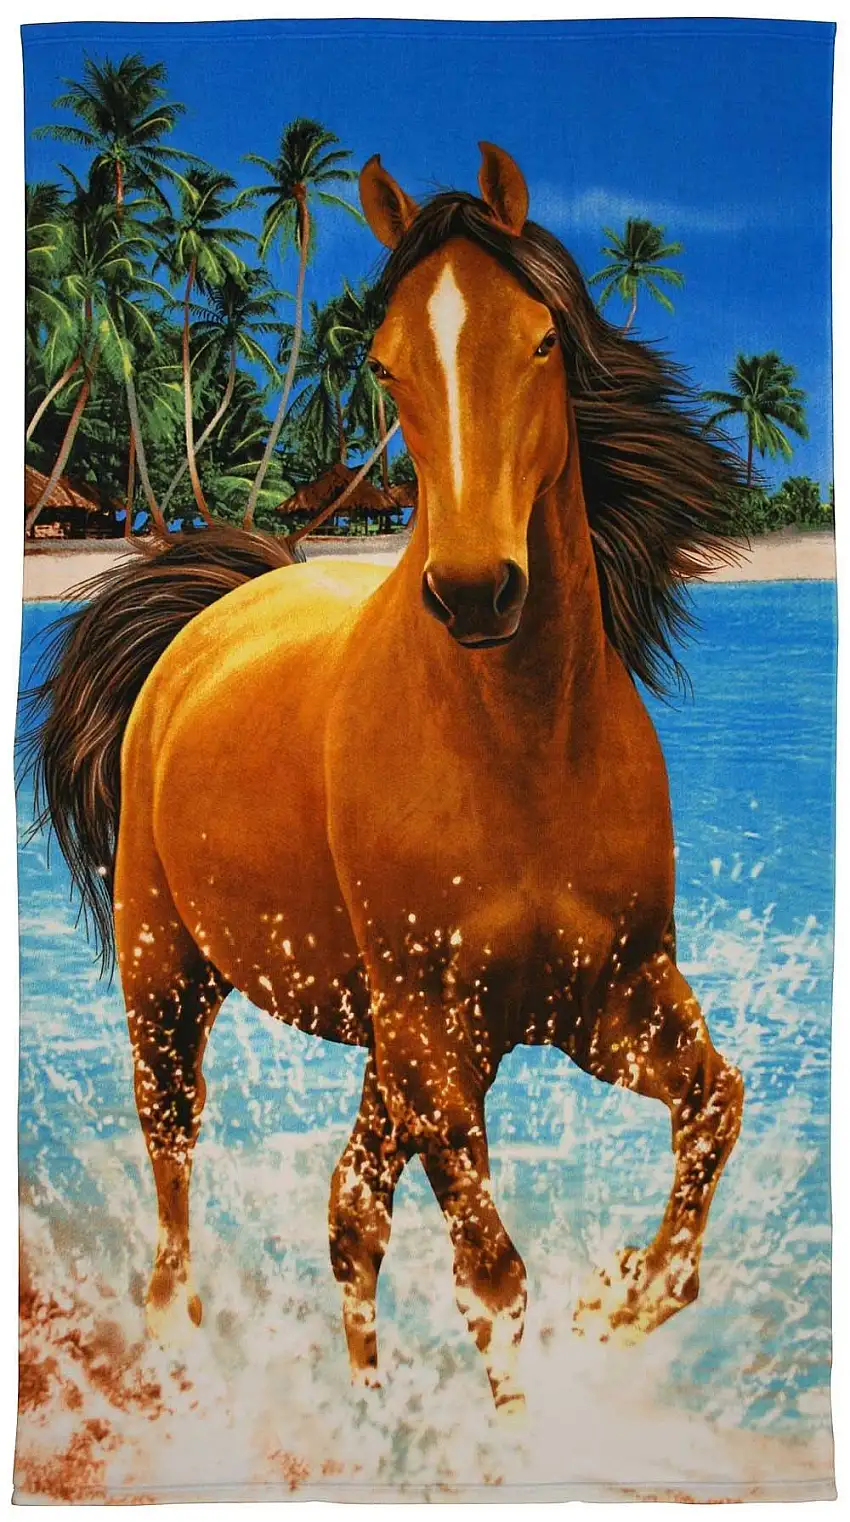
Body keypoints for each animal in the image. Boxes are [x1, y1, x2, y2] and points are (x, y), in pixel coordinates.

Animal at [26, 142, 745, 1416]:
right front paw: (516, 1425)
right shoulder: (439, 1044)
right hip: (171, 976)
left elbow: (715, 1106)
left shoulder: (608, 999)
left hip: (383, 1045)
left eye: (542, 340)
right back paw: (179, 1337)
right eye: (385, 361)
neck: (520, 756)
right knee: (176, 1160)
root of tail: (220, 602)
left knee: (347, 1210)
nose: (474, 591)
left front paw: (625, 1295)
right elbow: (492, 1279)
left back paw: (363, 1405)